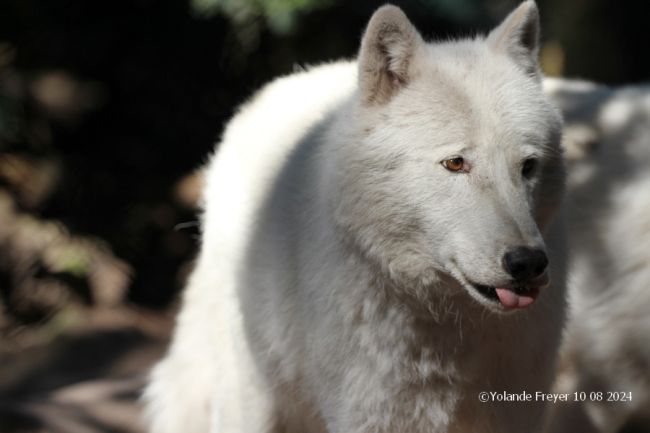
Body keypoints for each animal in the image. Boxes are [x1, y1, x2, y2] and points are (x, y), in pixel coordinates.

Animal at [144, 1, 564, 430]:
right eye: (455, 163)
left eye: (528, 166)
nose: (528, 263)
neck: (444, 326)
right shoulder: (367, 415)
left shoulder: (516, 409)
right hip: (253, 397)